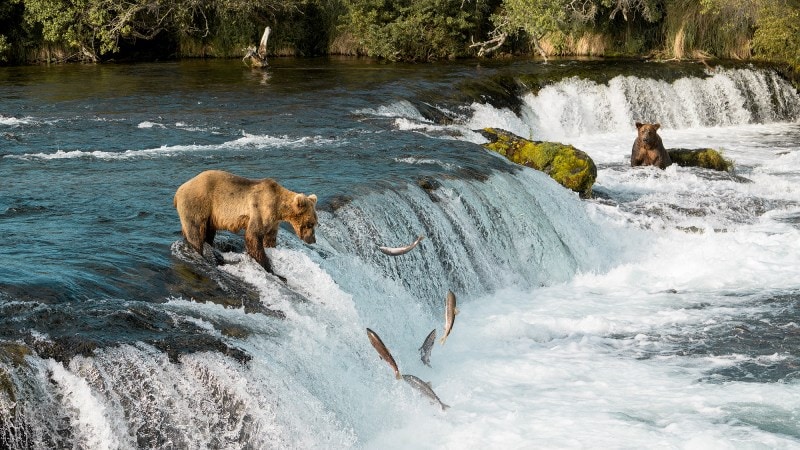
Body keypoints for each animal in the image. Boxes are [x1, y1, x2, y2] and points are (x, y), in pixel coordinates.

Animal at [175, 169, 318, 274]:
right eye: (310, 223)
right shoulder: (261, 209)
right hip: (198, 203)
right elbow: (253, 235)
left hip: (210, 215)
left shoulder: (273, 222)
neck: (279, 208)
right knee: (195, 231)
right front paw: (268, 267)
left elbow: (269, 238)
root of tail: (178, 191)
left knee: (208, 232)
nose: (312, 240)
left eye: (316, 223)